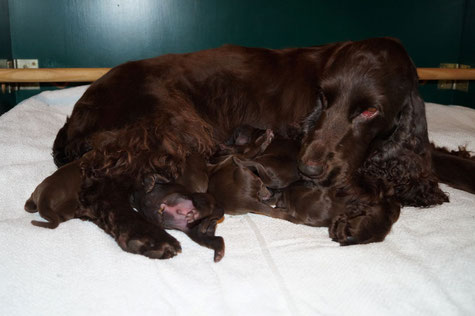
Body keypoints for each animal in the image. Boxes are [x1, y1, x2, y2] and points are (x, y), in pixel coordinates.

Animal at [51, 37, 454, 260]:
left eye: (369, 111)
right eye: (325, 97)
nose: (308, 170)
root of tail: (82, 104)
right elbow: (389, 202)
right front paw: (364, 222)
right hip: (166, 127)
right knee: (99, 187)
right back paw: (144, 235)